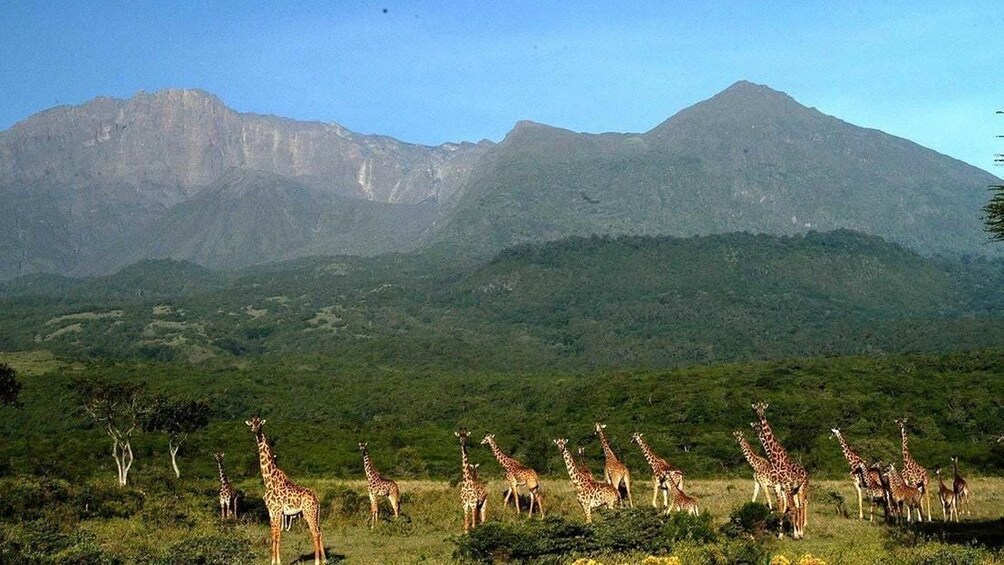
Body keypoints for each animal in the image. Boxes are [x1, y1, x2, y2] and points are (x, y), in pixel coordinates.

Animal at [243, 415, 325, 565]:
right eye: (251, 423)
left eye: (260, 424)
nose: (254, 430)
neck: (269, 480)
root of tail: (317, 499)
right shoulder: (272, 512)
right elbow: (274, 535)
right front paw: (274, 560)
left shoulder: (276, 511)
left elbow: (276, 536)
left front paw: (276, 562)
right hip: (314, 513)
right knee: (319, 531)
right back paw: (325, 560)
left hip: (309, 513)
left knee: (315, 532)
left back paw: (317, 561)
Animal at [755, 405, 807, 541]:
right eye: (756, 409)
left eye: (763, 408)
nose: (761, 416)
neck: (776, 460)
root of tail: (806, 472)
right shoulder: (778, 487)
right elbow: (781, 509)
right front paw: (780, 534)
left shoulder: (786, 486)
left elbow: (790, 509)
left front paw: (795, 534)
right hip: (794, 491)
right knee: (797, 507)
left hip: (801, 488)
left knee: (800, 506)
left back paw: (801, 532)